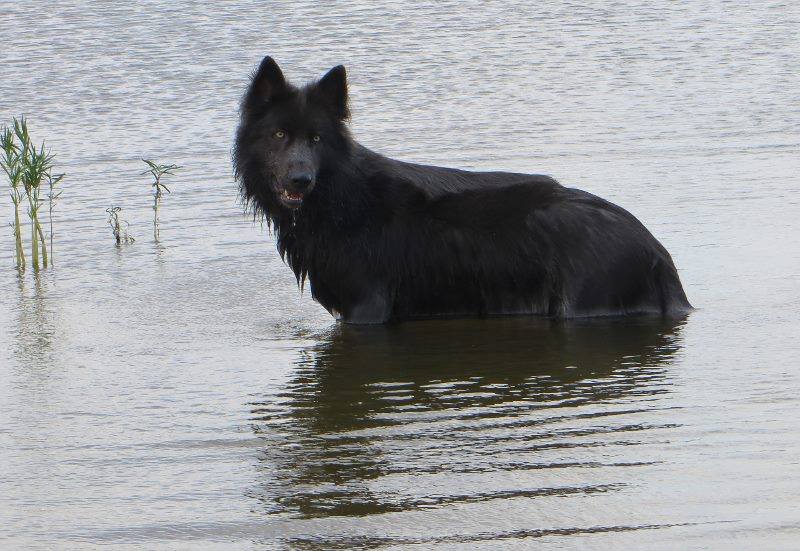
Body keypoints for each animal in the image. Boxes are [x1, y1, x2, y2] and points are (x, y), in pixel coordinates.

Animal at [234, 57, 692, 324]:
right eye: (279, 134)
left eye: (316, 139)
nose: (300, 180)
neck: (340, 198)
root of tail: (655, 247)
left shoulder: (367, 310)